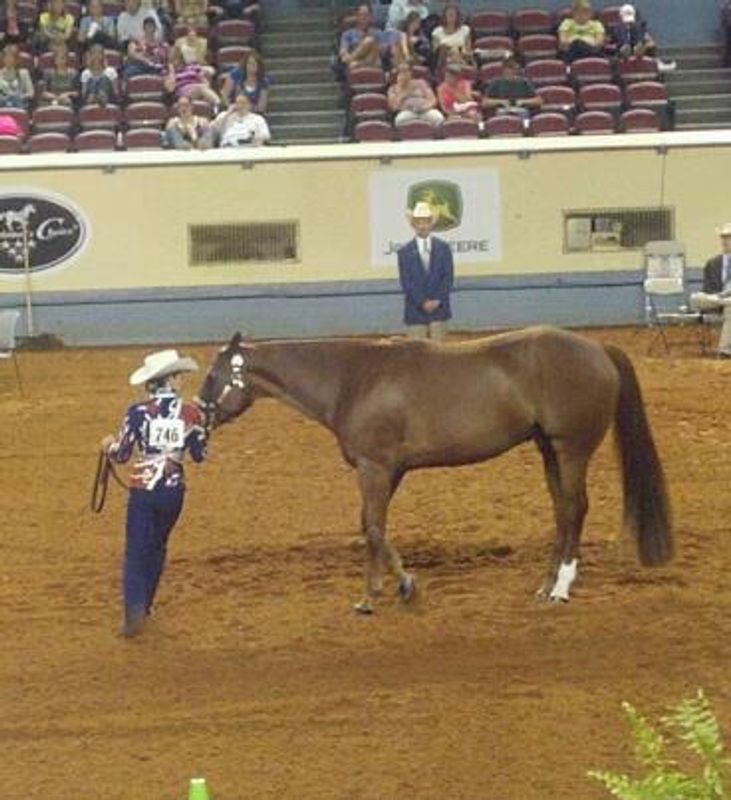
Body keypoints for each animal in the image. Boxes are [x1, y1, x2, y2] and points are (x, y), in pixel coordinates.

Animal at [197, 326, 673, 614]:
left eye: (213, 377)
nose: (198, 419)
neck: (353, 379)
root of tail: (598, 349)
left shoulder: (374, 466)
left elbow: (374, 528)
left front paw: (393, 590)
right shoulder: (389, 471)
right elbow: (371, 527)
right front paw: (381, 590)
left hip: (571, 448)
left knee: (575, 509)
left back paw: (562, 588)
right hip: (548, 450)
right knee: (562, 512)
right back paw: (545, 584)